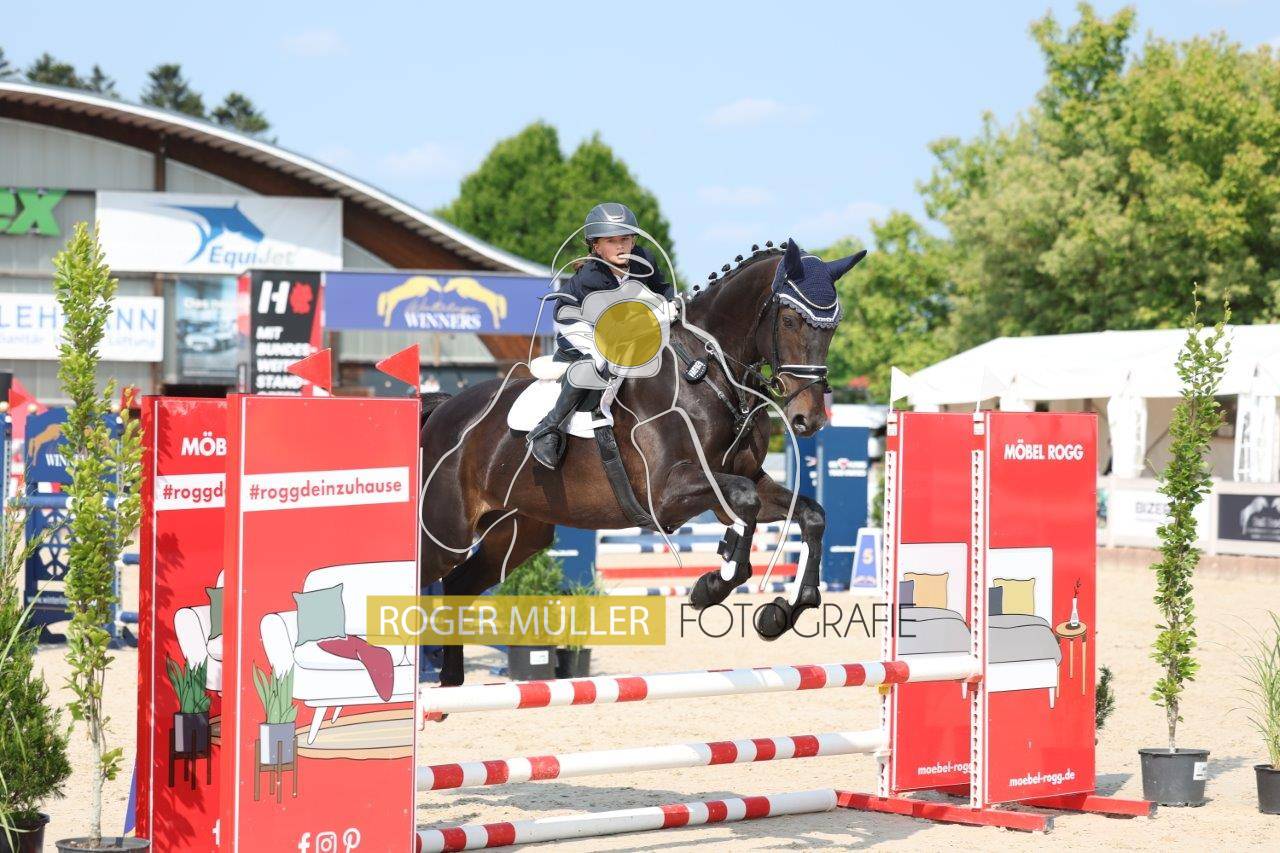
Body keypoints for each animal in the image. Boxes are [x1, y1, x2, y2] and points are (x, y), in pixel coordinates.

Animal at [419, 238, 866, 686]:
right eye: (789, 320)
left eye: (833, 327)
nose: (808, 419)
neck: (707, 375)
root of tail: (443, 411)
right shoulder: (666, 494)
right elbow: (745, 502)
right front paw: (710, 587)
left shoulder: (745, 480)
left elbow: (810, 514)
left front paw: (782, 612)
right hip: (445, 531)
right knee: (429, 577)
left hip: (518, 533)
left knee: (458, 585)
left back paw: (450, 684)